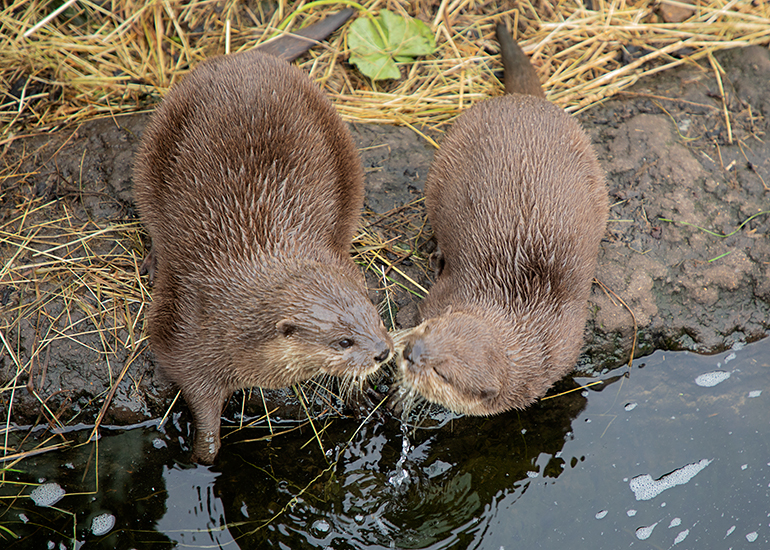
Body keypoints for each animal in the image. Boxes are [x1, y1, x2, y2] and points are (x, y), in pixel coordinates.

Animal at [134, 45, 392, 464]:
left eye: (377, 317)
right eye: (343, 342)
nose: (383, 352)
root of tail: (242, 56)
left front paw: (361, 394)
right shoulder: (188, 337)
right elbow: (199, 398)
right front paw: (200, 458)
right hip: (156, 140)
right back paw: (155, 261)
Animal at [394, 23, 609, 415]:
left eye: (442, 372)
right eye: (430, 329)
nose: (412, 351)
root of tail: (525, 101)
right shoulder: (440, 297)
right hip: (444, 162)